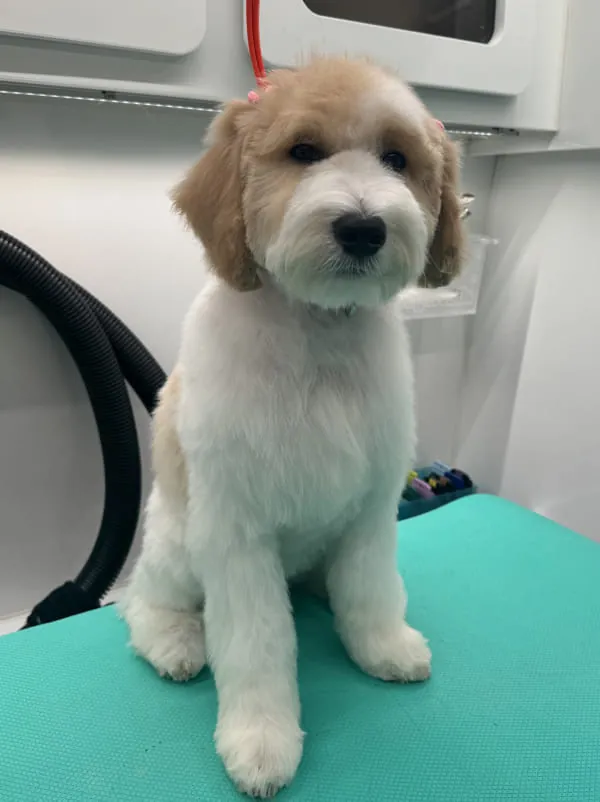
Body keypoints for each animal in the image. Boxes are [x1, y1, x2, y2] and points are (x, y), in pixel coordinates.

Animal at [123, 57, 465, 798]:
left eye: (397, 159)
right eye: (303, 152)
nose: (363, 228)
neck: (316, 332)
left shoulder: (370, 507)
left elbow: (370, 590)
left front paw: (382, 646)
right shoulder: (237, 534)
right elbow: (256, 645)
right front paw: (261, 740)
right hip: (177, 547)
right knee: (140, 603)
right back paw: (175, 643)